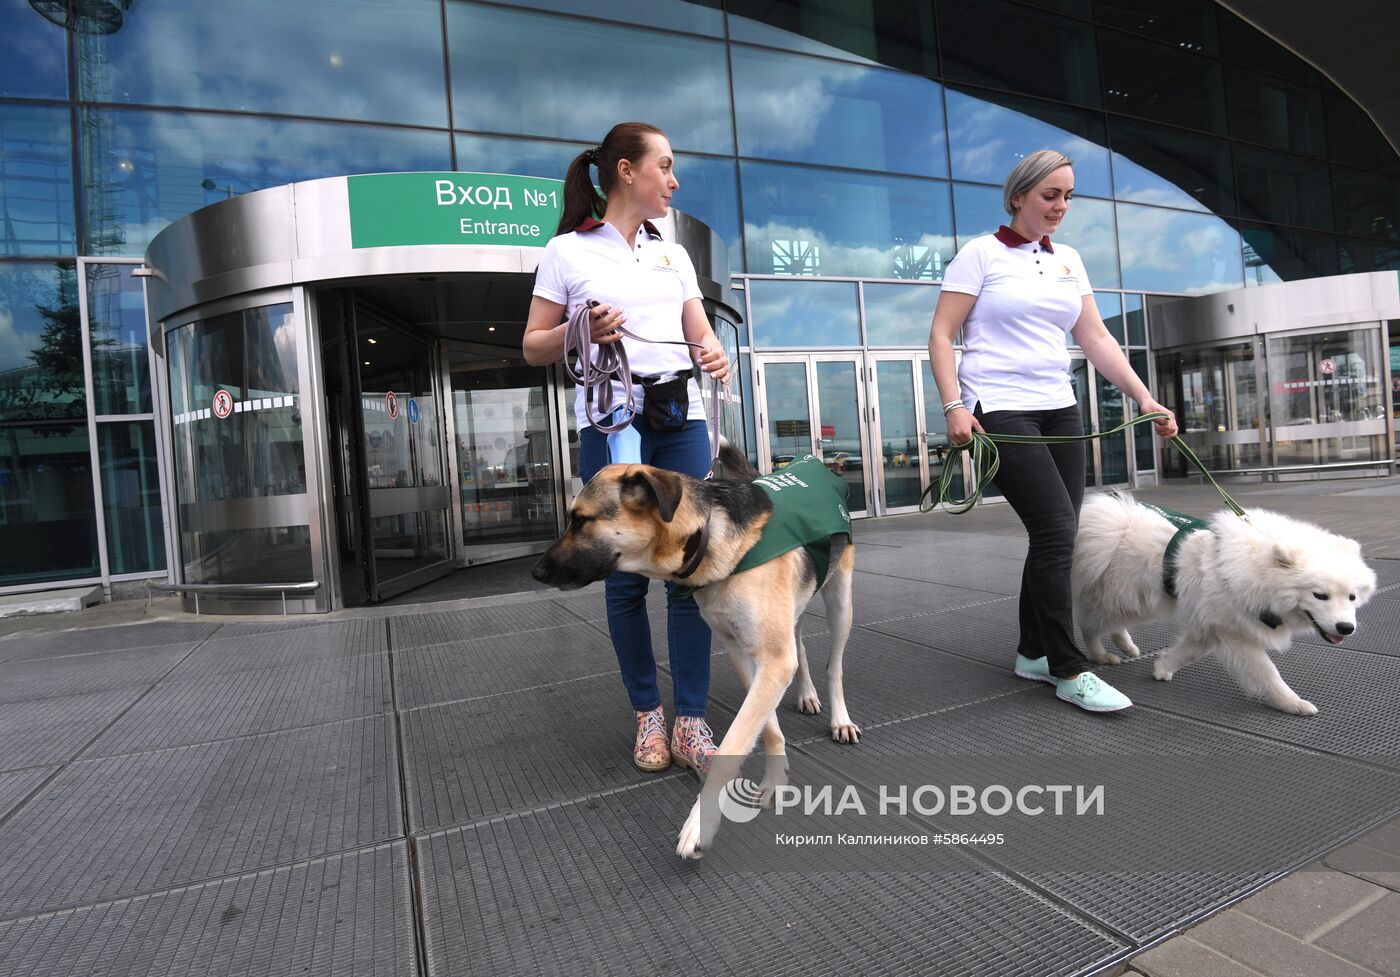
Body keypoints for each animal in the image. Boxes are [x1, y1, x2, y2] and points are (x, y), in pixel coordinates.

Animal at [532, 445, 851, 856]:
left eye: (581, 520)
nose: (536, 572)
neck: (706, 535)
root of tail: (809, 461)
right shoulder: (744, 653)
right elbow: (766, 727)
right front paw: (776, 778)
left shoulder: (773, 661)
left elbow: (737, 739)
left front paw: (700, 823)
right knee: (801, 644)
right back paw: (808, 694)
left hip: (840, 599)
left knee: (835, 665)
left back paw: (840, 719)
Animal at [1069, 489, 1377, 711]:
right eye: (1320, 595)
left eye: (1352, 596)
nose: (1346, 628)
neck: (1256, 570)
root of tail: (1114, 525)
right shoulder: (1235, 635)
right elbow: (1267, 674)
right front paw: (1292, 704)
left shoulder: (1212, 626)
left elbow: (1187, 652)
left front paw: (1162, 667)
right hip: (1126, 599)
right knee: (1090, 623)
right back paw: (1101, 654)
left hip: (1134, 602)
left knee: (1107, 622)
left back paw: (1126, 645)